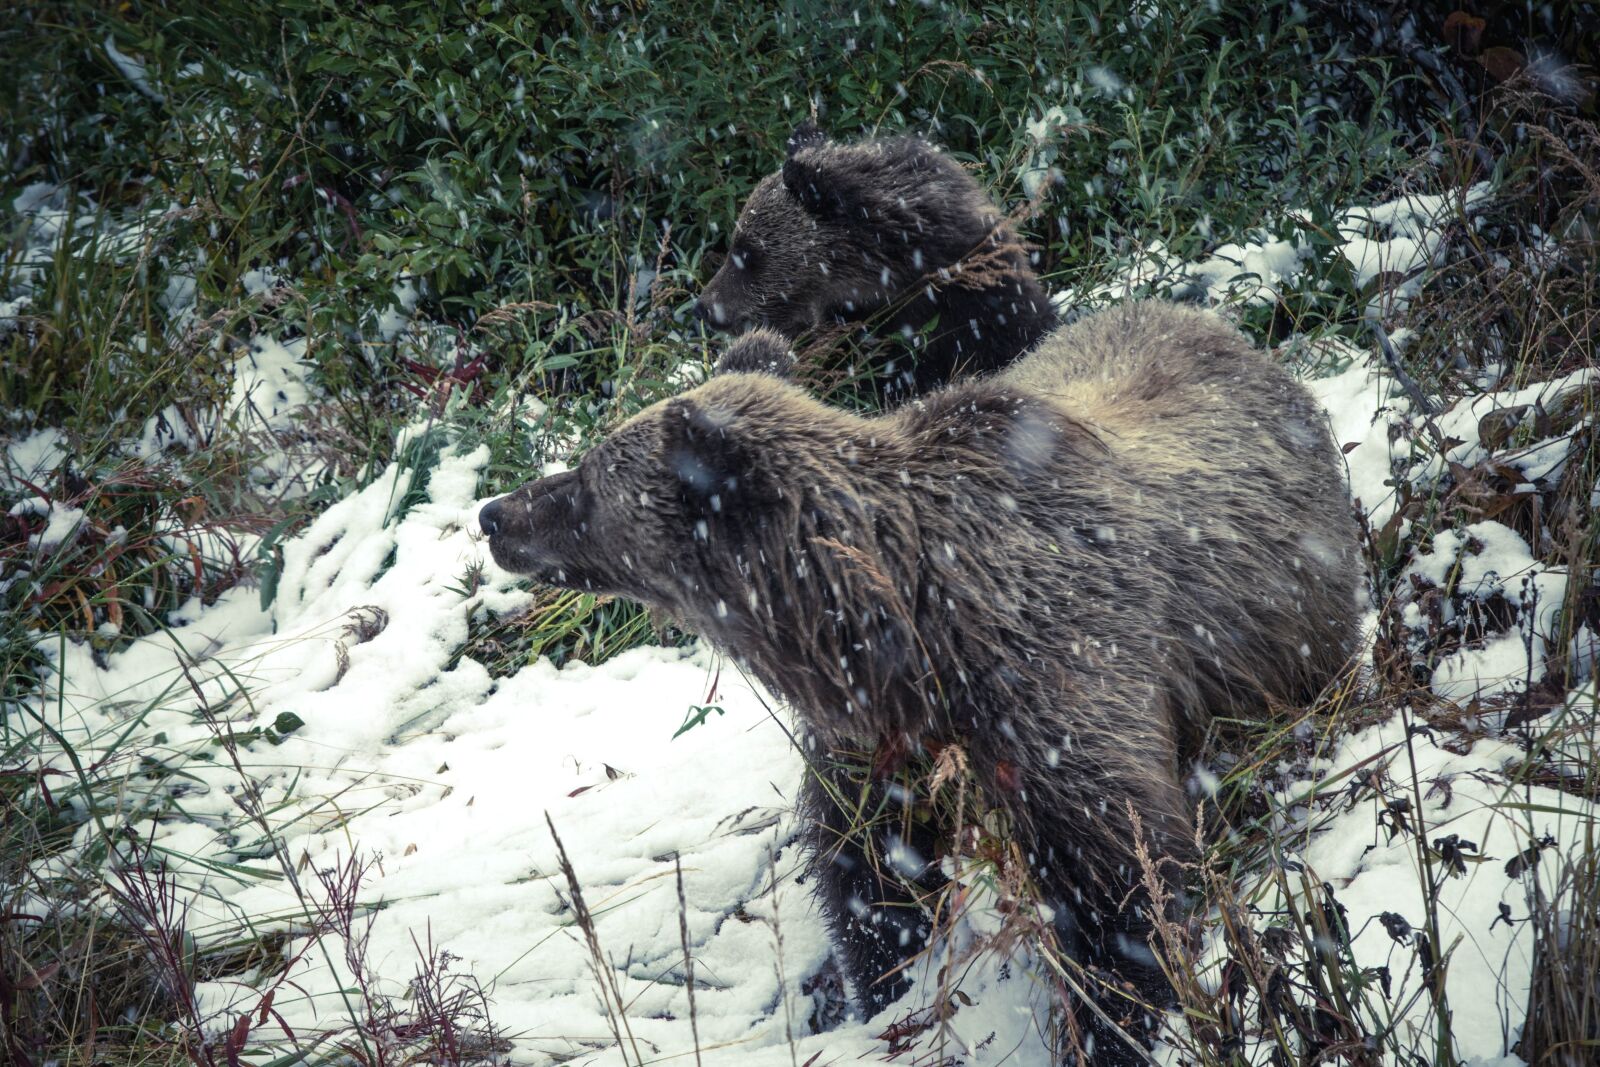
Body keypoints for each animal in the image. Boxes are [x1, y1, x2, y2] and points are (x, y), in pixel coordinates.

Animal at [478, 301, 1361, 1064]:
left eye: (586, 481)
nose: (495, 513)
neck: (899, 625)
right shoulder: (878, 738)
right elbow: (869, 868)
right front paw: (876, 985)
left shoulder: (1056, 686)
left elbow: (1124, 885)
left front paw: (1111, 1024)